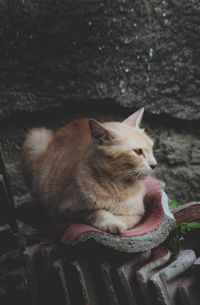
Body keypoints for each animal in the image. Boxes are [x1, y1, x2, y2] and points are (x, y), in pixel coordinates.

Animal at [21, 108, 156, 234]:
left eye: (151, 148)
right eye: (138, 151)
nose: (154, 164)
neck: (117, 186)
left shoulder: (137, 213)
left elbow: (126, 218)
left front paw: (118, 221)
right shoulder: (69, 210)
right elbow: (99, 212)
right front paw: (112, 222)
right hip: (36, 137)